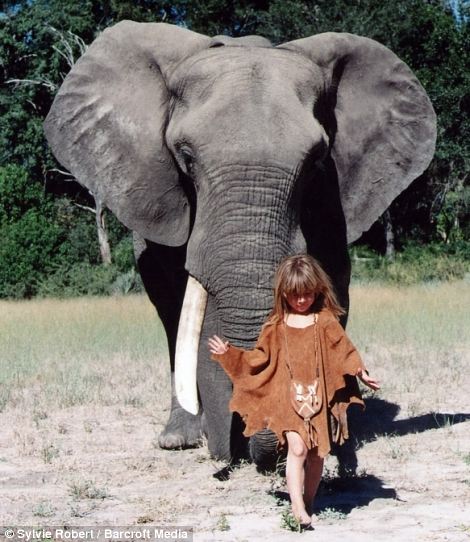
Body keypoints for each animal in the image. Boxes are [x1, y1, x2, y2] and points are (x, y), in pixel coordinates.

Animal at [45, 21, 436, 468]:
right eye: (185, 157)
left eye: (316, 161)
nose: (231, 450)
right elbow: (180, 302)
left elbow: (334, 292)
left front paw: (331, 434)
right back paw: (181, 437)